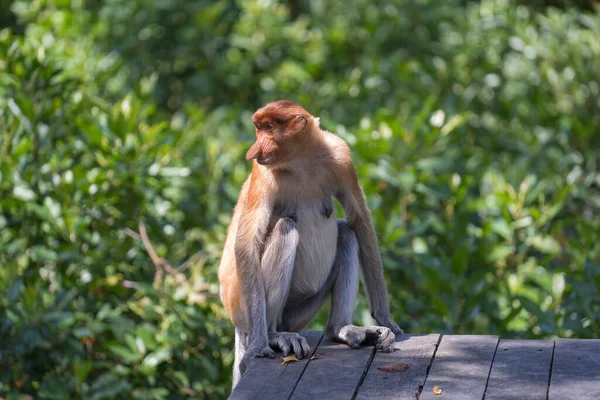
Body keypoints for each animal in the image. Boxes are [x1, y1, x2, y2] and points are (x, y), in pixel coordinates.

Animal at [218, 100, 400, 384]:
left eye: (269, 128)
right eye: (258, 129)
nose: (253, 151)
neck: (300, 162)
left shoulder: (341, 156)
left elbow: (360, 222)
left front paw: (386, 320)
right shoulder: (262, 175)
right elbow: (247, 245)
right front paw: (259, 347)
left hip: (301, 310)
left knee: (346, 233)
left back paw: (341, 329)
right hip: (243, 307)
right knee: (286, 228)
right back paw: (274, 336)